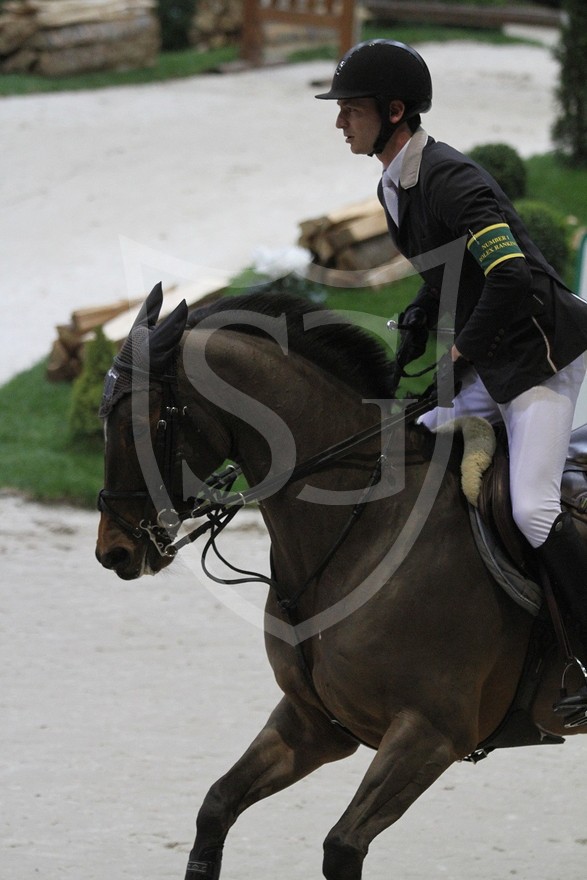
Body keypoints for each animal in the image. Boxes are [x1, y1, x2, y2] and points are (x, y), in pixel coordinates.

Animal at [95, 286, 584, 876]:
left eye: (141, 427)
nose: (113, 552)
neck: (367, 526)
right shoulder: (314, 724)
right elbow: (215, 807)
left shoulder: (430, 734)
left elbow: (342, 847)